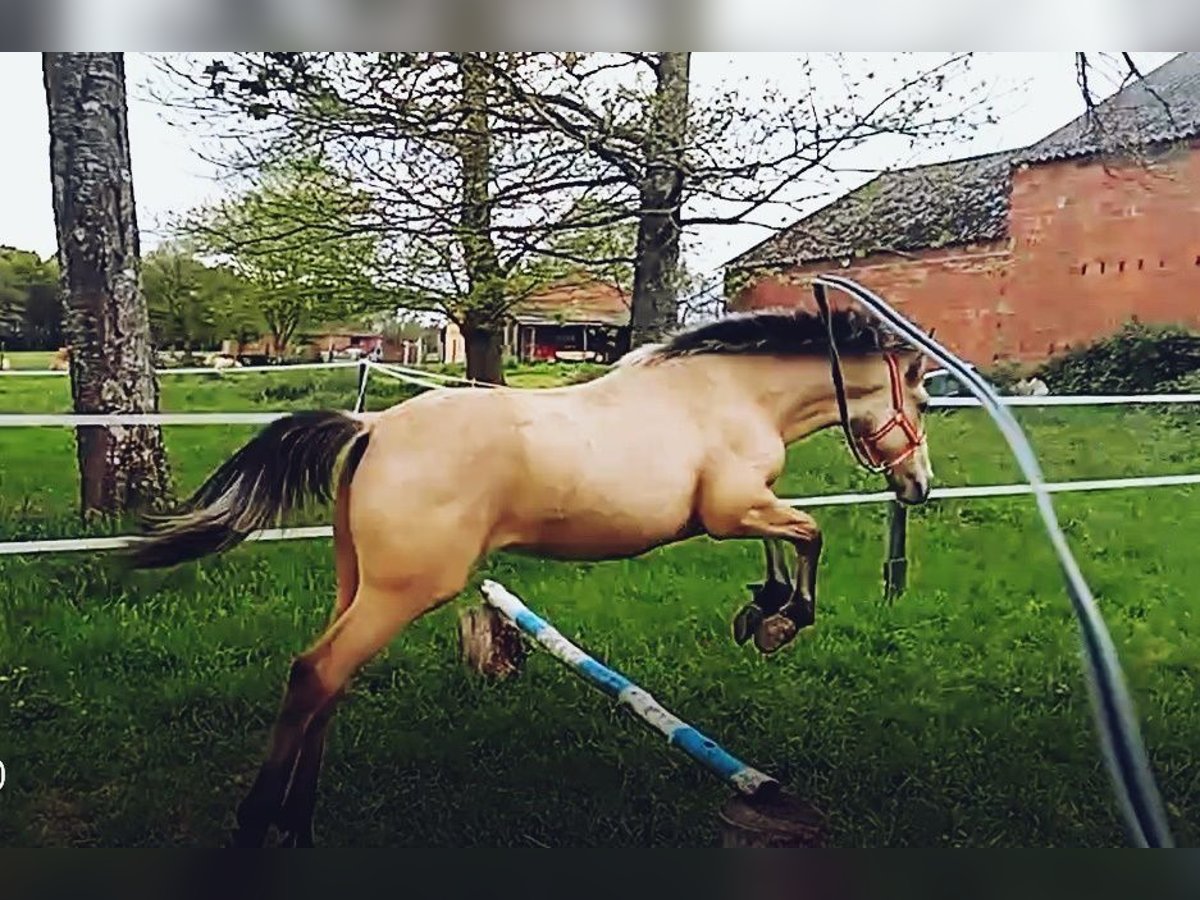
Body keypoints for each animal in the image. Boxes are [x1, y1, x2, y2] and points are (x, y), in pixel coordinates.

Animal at [129, 307, 936, 849]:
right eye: (924, 401)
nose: (919, 486)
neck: (725, 398)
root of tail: (373, 429)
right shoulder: (735, 506)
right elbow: (810, 534)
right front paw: (782, 620)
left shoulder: (739, 510)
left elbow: (784, 542)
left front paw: (762, 609)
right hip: (401, 592)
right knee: (314, 673)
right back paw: (258, 825)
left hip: (355, 585)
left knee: (327, 683)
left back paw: (298, 823)